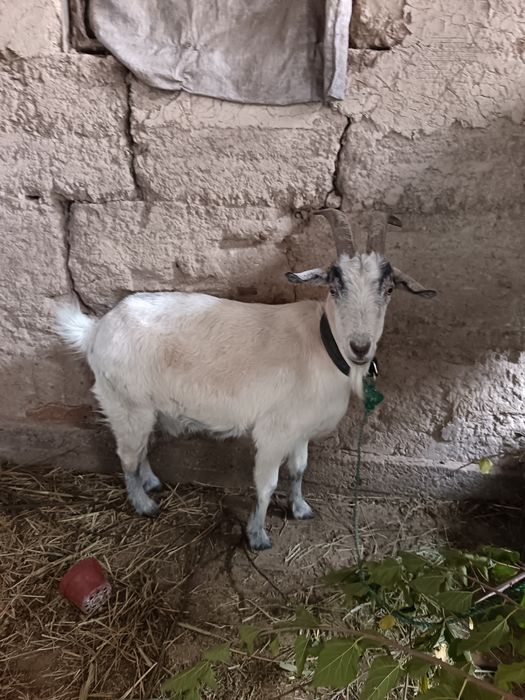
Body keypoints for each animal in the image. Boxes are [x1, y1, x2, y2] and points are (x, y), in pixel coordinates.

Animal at [55, 209, 436, 550]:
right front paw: (257, 536)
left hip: (143, 408)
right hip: (125, 403)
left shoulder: (300, 430)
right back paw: (144, 504)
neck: (323, 347)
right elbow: (266, 485)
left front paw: (300, 508)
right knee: (127, 455)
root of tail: (96, 330)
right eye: (334, 286)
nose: (360, 347)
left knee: (141, 448)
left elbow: (299, 470)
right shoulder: (274, 432)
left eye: (389, 289)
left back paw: (151, 483)